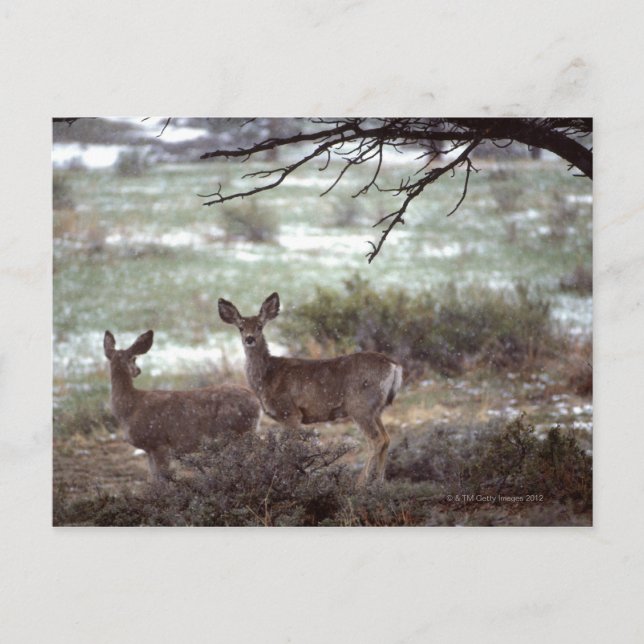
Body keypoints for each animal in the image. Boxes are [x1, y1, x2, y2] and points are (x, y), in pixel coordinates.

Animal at [103, 329, 261, 480]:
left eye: (134, 358)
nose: (138, 371)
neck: (130, 406)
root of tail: (257, 402)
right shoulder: (150, 449)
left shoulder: (158, 443)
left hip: (240, 431)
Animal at [218, 292, 403, 484]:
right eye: (240, 327)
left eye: (260, 326)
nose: (250, 339)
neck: (267, 376)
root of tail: (394, 365)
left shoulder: (290, 412)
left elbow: (290, 450)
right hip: (377, 409)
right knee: (387, 438)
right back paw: (379, 483)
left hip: (360, 405)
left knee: (376, 440)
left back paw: (360, 484)